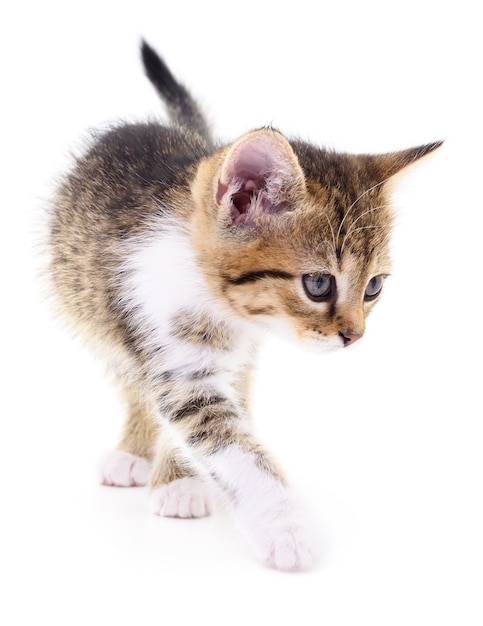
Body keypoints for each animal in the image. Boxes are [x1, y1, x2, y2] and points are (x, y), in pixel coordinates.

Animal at [49, 41, 442, 572]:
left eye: (374, 287)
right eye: (319, 284)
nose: (355, 335)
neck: (222, 308)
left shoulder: (237, 354)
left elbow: (225, 409)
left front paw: (180, 480)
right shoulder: (170, 354)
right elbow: (227, 442)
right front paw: (288, 529)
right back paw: (131, 453)